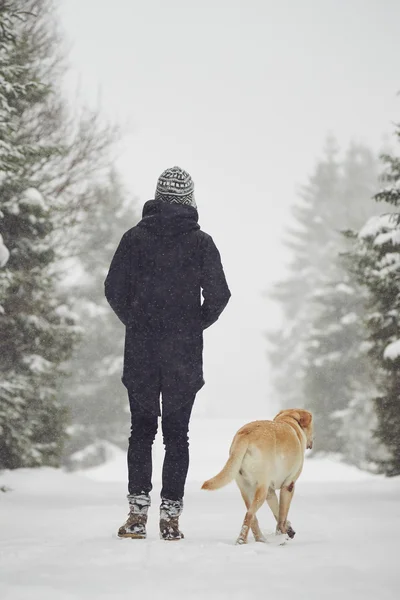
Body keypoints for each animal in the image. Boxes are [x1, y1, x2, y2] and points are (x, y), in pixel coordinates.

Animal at [202, 408, 314, 544]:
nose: (312, 442)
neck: (289, 420)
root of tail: (246, 434)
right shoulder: (288, 485)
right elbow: (282, 514)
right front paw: (282, 535)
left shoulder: (270, 492)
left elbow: (277, 511)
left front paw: (288, 529)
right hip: (261, 488)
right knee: (249, 514)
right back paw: (242, 540)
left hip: (246, 487)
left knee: (252, 518)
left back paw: (259, 539)